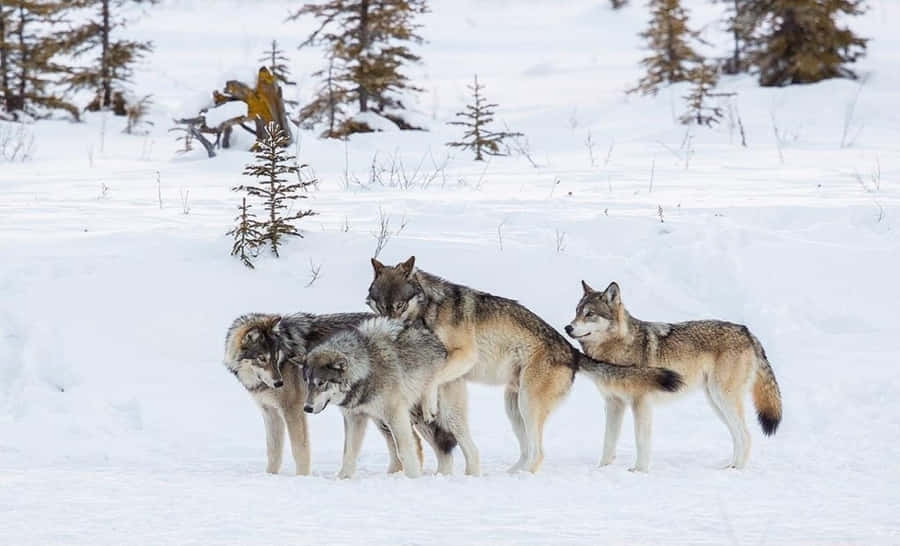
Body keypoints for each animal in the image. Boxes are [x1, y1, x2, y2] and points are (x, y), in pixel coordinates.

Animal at [223, 312, 462, 476]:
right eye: (262, 359)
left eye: (277, 357)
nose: (279, 382)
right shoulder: (270, 413)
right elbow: (273, 452)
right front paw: (270, 476)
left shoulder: (293, 411)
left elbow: (299, 451)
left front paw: (302, 477)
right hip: (378, 416)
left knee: (432, 444)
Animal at [304, 317, 480, 479]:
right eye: (307, 382)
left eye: (321, 383)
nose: (307, 408)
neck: (367, 368)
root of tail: (445, 349)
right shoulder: (354, 417)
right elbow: (348, 453)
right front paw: (343, 478)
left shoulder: (396, 415)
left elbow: (404, 451)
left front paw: (413, 478)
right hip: (412, 422)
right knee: (444, 453)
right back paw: (441, 476)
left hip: (447, 418)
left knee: (472, 449)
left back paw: (472, 475)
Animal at [366, 256, 683, 473]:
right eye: (380, 306)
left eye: (398, 306)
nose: (386, 330)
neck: (429, 309)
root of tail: (571, 350)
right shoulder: (455, 376)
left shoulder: (464, 356)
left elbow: (434, 380)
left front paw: (430, 406)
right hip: (513, 405)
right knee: (528, 449)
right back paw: (512, 473)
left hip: (527, 403)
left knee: (538, 453)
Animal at [566, 281, 783, 471]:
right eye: (576, 312)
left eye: (590, 314)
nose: (568, 327)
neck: (618, 348)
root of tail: (747, 332)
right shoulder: (613, 403)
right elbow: (608, 441)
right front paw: (602, 468)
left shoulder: (641, 403)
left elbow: (641, 440)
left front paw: (639, 470)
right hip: (716, 402)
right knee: (738, 436)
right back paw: (730, 466)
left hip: (723, 398)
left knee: (745, 435)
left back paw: (736, 469)